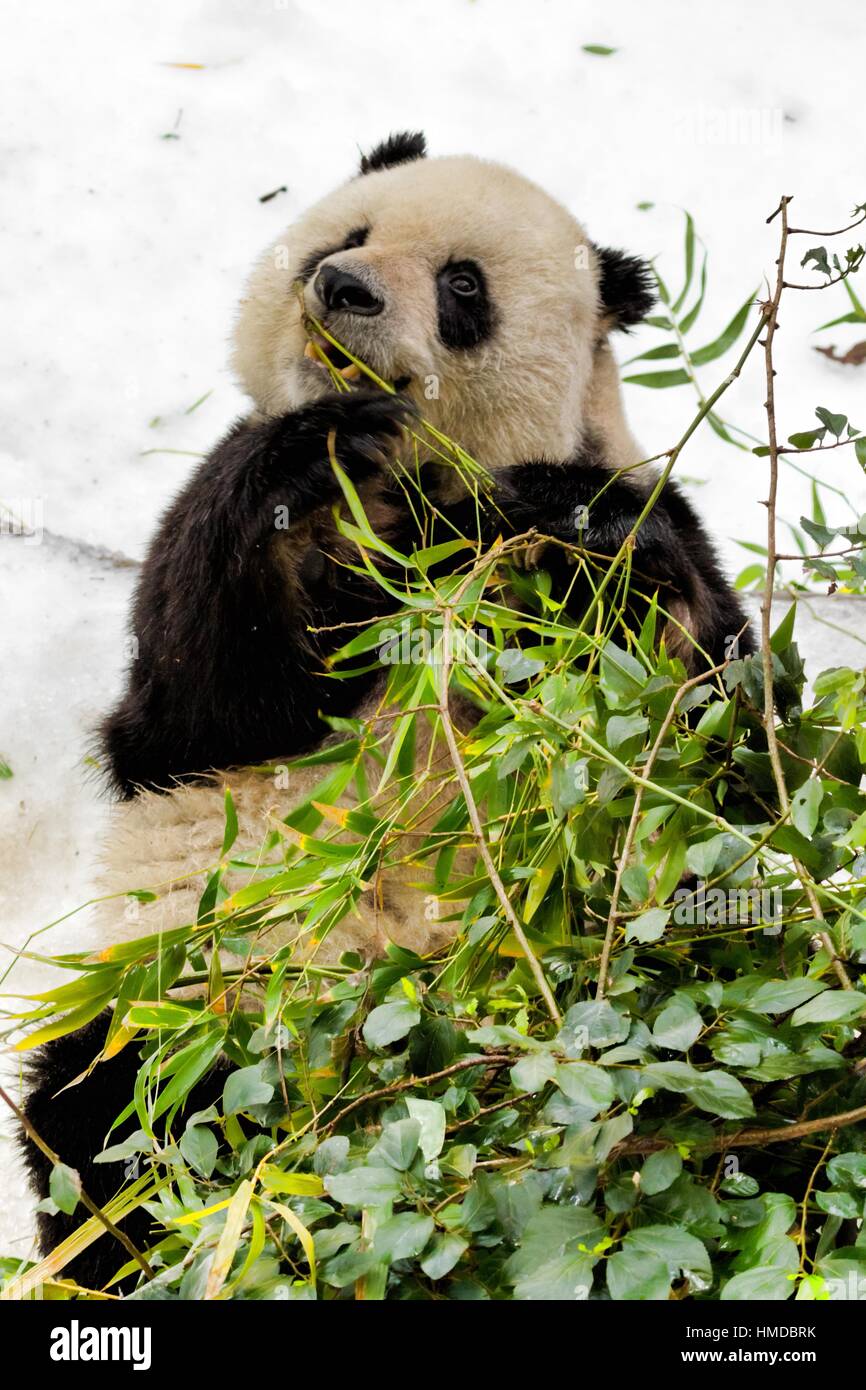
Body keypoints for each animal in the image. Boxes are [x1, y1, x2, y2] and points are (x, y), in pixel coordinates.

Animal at [20, 132, 752, 1283]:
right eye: (349, 233)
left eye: (463, 286)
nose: (342, 287)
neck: (420, 488)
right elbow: (198, 709)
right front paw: (305, 458)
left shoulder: (621, 502)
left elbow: (722, 737)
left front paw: (598, 552)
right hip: (191, 1000)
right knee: (107, 1126)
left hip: (660, 995)